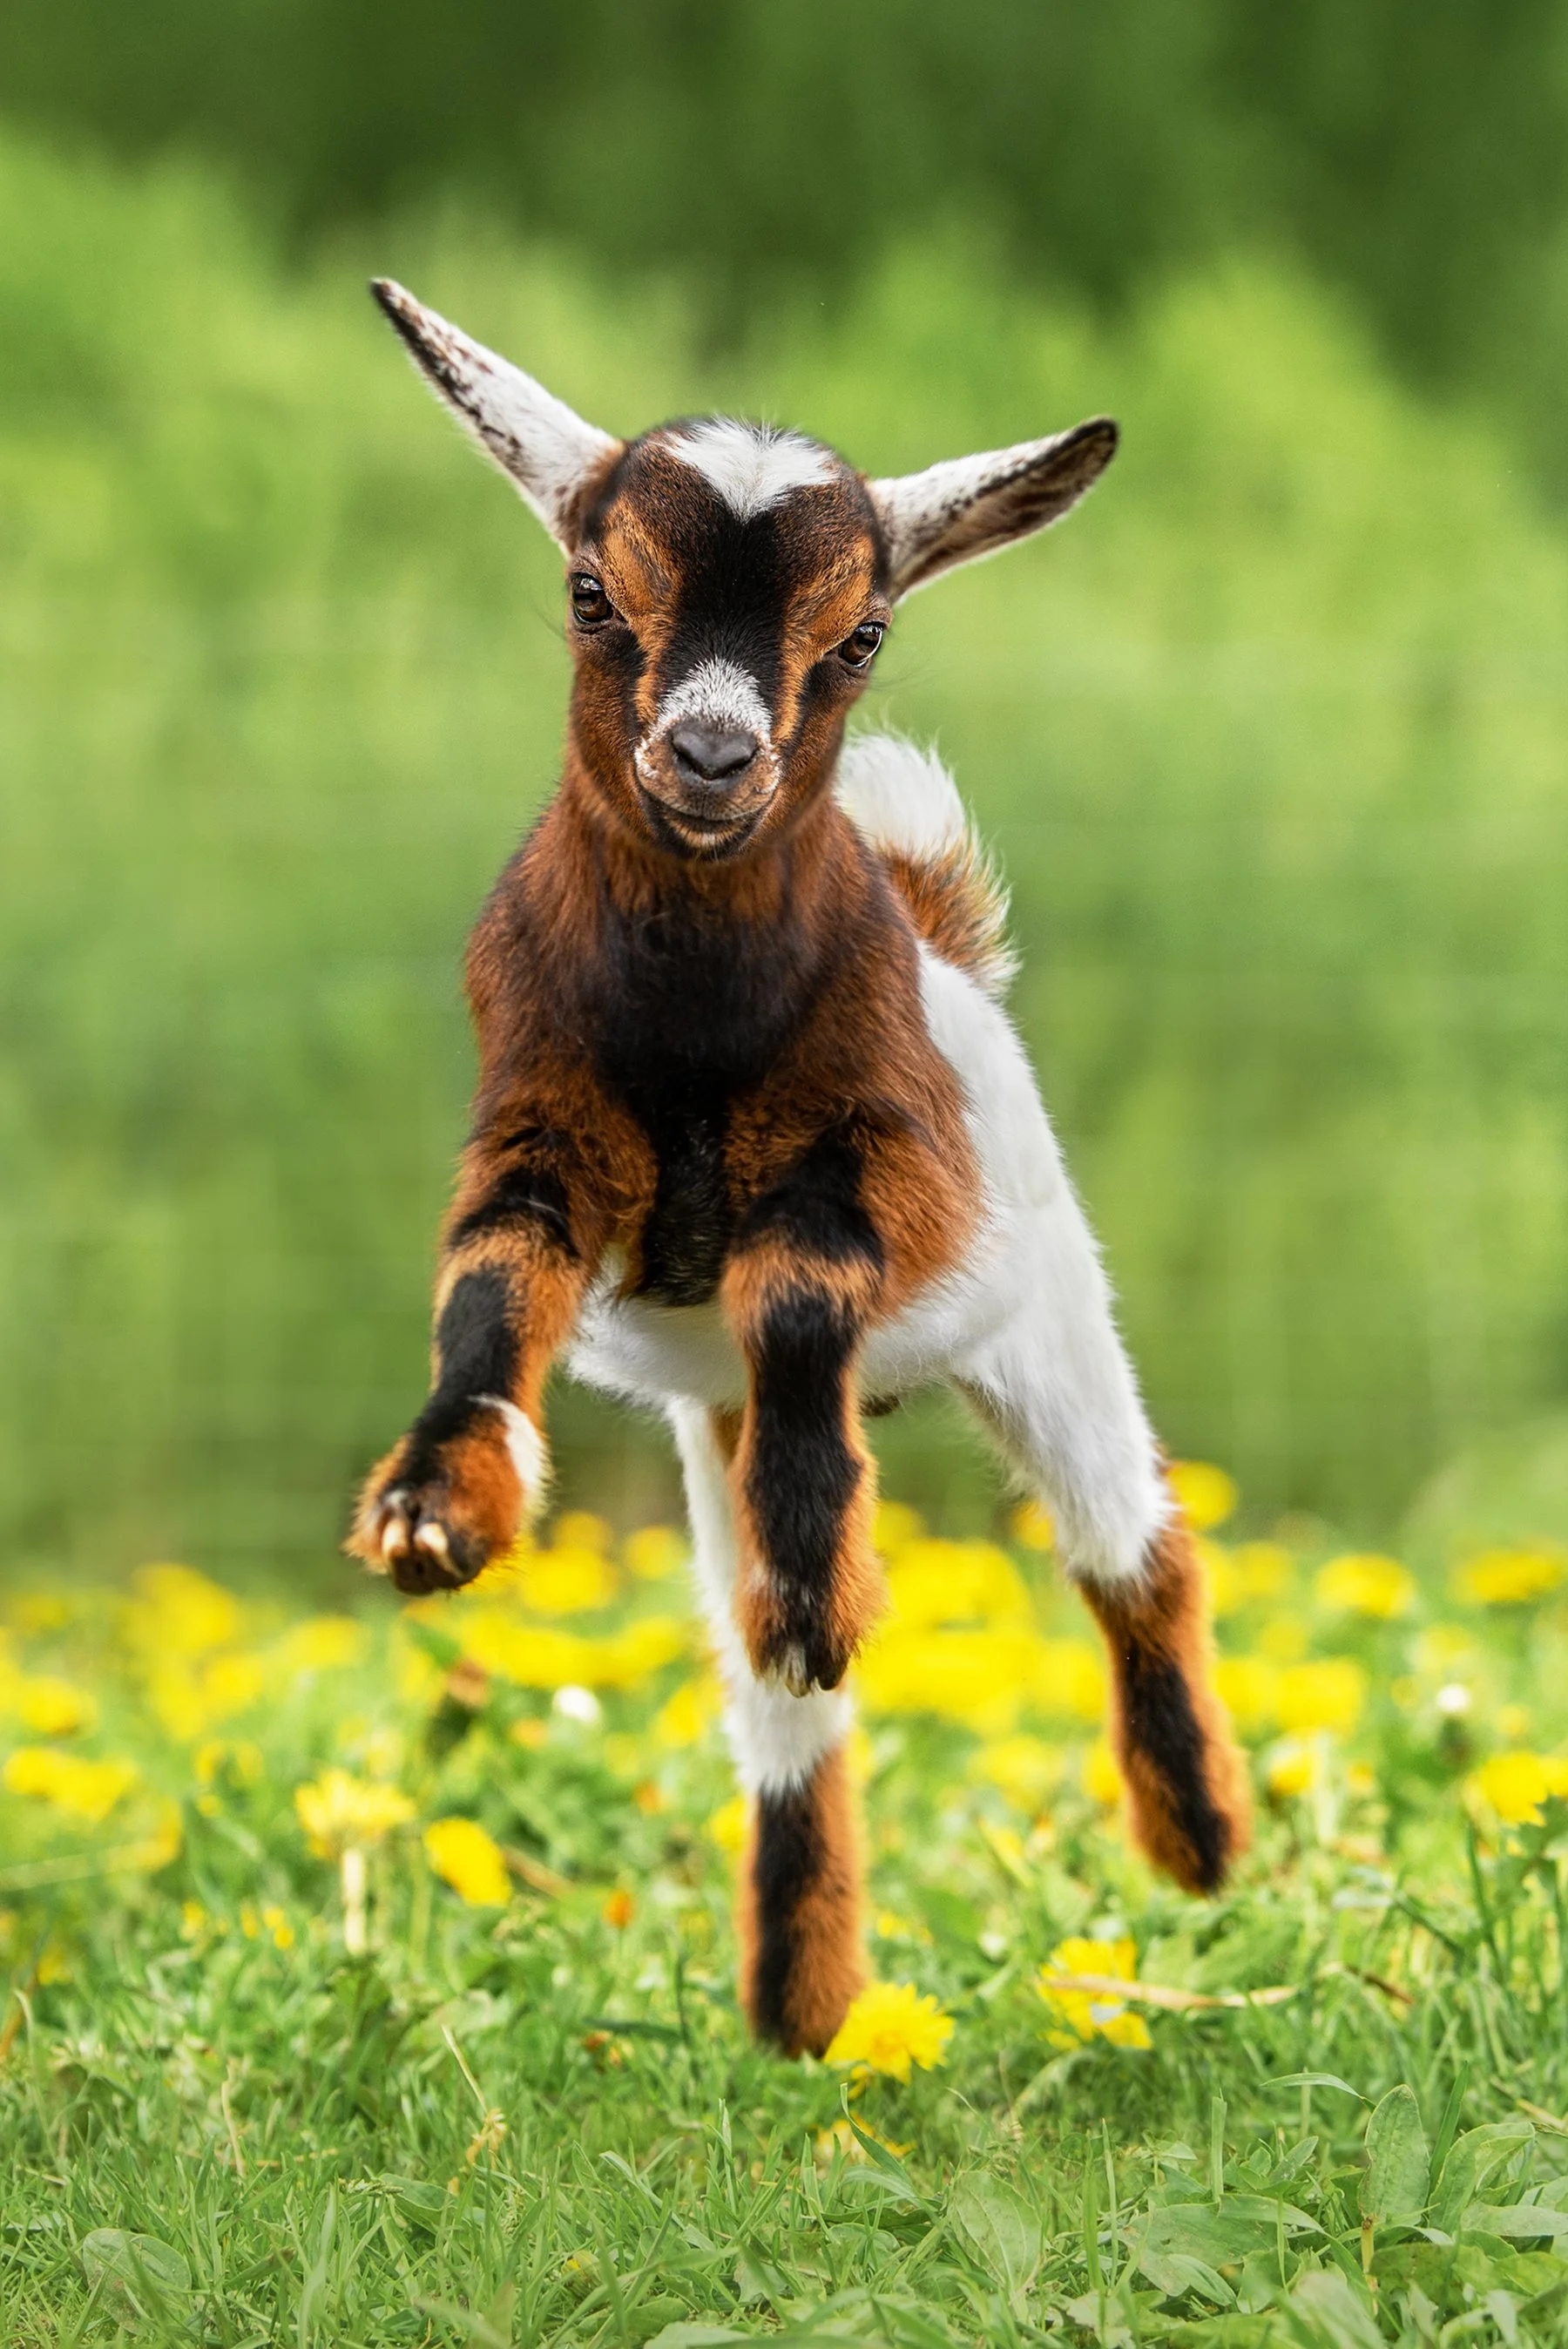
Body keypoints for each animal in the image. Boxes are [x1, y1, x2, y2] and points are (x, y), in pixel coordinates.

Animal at [350, 279, 1250, 2057]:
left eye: (863, 634)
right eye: (592, 592)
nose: (711, 756)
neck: (702, 1024)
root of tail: (941, 928)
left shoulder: (886, 1163)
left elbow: (798, 1278)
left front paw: (826, 1587)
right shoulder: (543, 1133)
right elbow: (486, 1290)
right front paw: (436, 1512)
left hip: (1052, 1320)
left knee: (1138, 1552)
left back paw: (1194, 1839)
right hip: (707, 1430)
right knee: (775, 1719)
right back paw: (802, 2005)